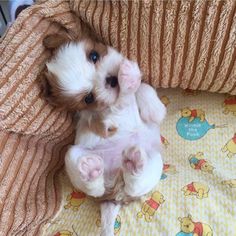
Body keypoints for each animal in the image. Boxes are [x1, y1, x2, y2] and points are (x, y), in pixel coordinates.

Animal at [42, 33, 167, 236]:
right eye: (88, 98)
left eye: (94, 56)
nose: (112, 80)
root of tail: (113, 195)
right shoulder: (104, 120)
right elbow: (123, 100)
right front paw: (128, 84)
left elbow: (145, 91)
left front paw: (137, 88)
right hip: (73, 154)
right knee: (105, 189)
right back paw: (93, 171)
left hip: (154, 161)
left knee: (132, 184)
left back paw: (129, 164)